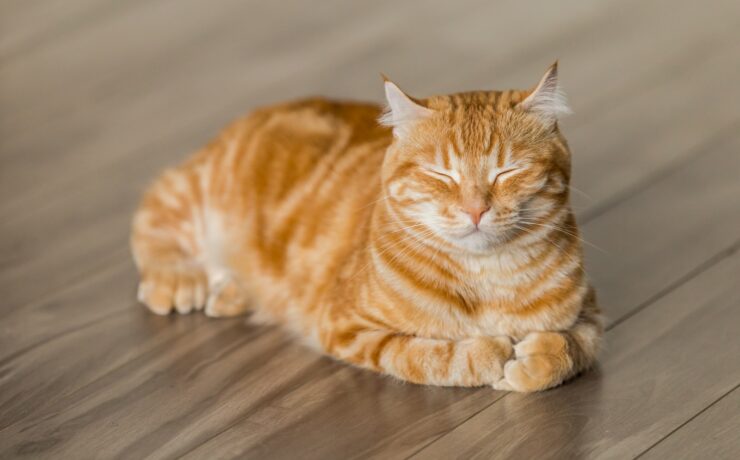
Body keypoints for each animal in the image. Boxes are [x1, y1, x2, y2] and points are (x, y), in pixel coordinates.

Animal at [132, 62, 600, 392]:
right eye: (440, 174)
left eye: (508, 171)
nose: (475, 210)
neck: (487, 279)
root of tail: (259, 110)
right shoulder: (350, 328)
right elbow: (430, 356)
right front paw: (491, 353)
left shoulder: (591, 315)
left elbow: (572, 348)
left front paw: (536, 360)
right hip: (195, 193)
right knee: (152, 215)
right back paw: (179, 279)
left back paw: (231, 292)